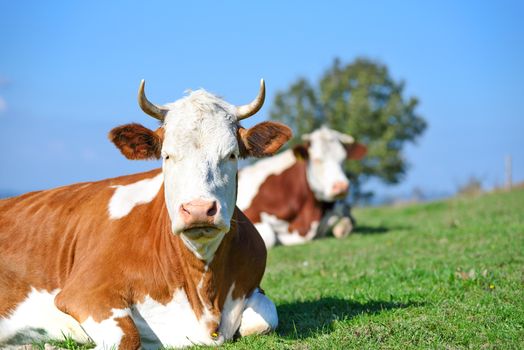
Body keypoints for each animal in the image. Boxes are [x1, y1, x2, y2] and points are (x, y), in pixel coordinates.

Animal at [0, 80, 290, 350]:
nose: (198, 209)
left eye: (231, 155)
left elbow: (265, 318)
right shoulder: (84, 292)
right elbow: (128, 336)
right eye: (167, 155)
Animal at [238, 126, 368, 249]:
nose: (341, 186)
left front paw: (341, 228)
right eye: (316, 160)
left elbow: (347, 214)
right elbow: (269, 238)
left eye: (343, 159)